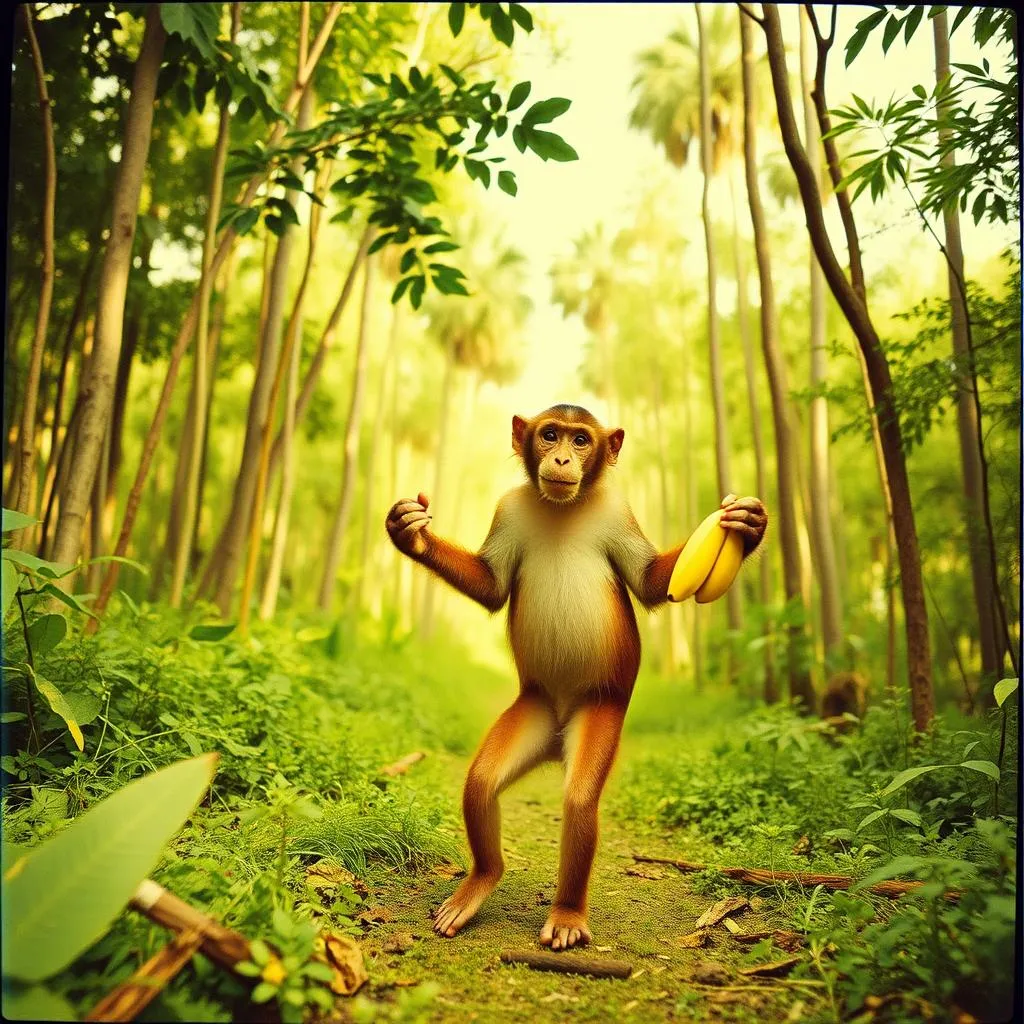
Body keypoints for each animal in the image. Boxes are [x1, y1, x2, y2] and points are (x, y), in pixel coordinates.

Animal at [385, 405, 767, 950]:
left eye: (581, 440)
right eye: (550, 435)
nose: (563, 458)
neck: (565, 507)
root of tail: (557, 737)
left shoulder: (618, 512)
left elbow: (651, 582)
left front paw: (750, 526)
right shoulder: (508, 508)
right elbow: (492, 586)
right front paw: (410, 533)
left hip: (599, 712)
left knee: (581, 801)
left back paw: (566, 913)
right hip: (533, 709)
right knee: (482, 783)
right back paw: (482, 880)